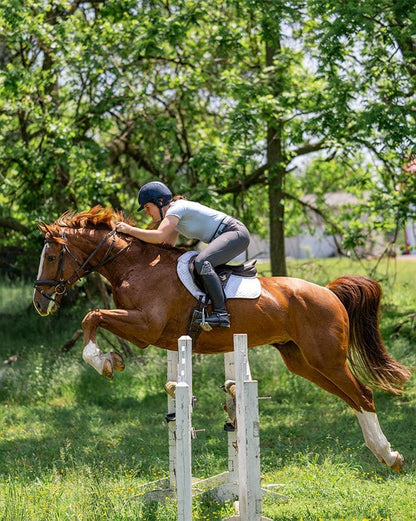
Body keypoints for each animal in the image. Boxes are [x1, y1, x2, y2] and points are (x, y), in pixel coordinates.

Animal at [31, 206, 410, 472]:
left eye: (50, 257)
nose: (39, 303)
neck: (135, 266)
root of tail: (329, 293)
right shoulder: (143, 330)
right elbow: (94, 317)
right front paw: (111, 360)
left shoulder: (146, 327)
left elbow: (92, 315)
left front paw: (104, 362)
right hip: (303, 361)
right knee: (351, 398)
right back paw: (383, 454)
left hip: (326, 358)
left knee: (362, 394)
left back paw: (390, 455)